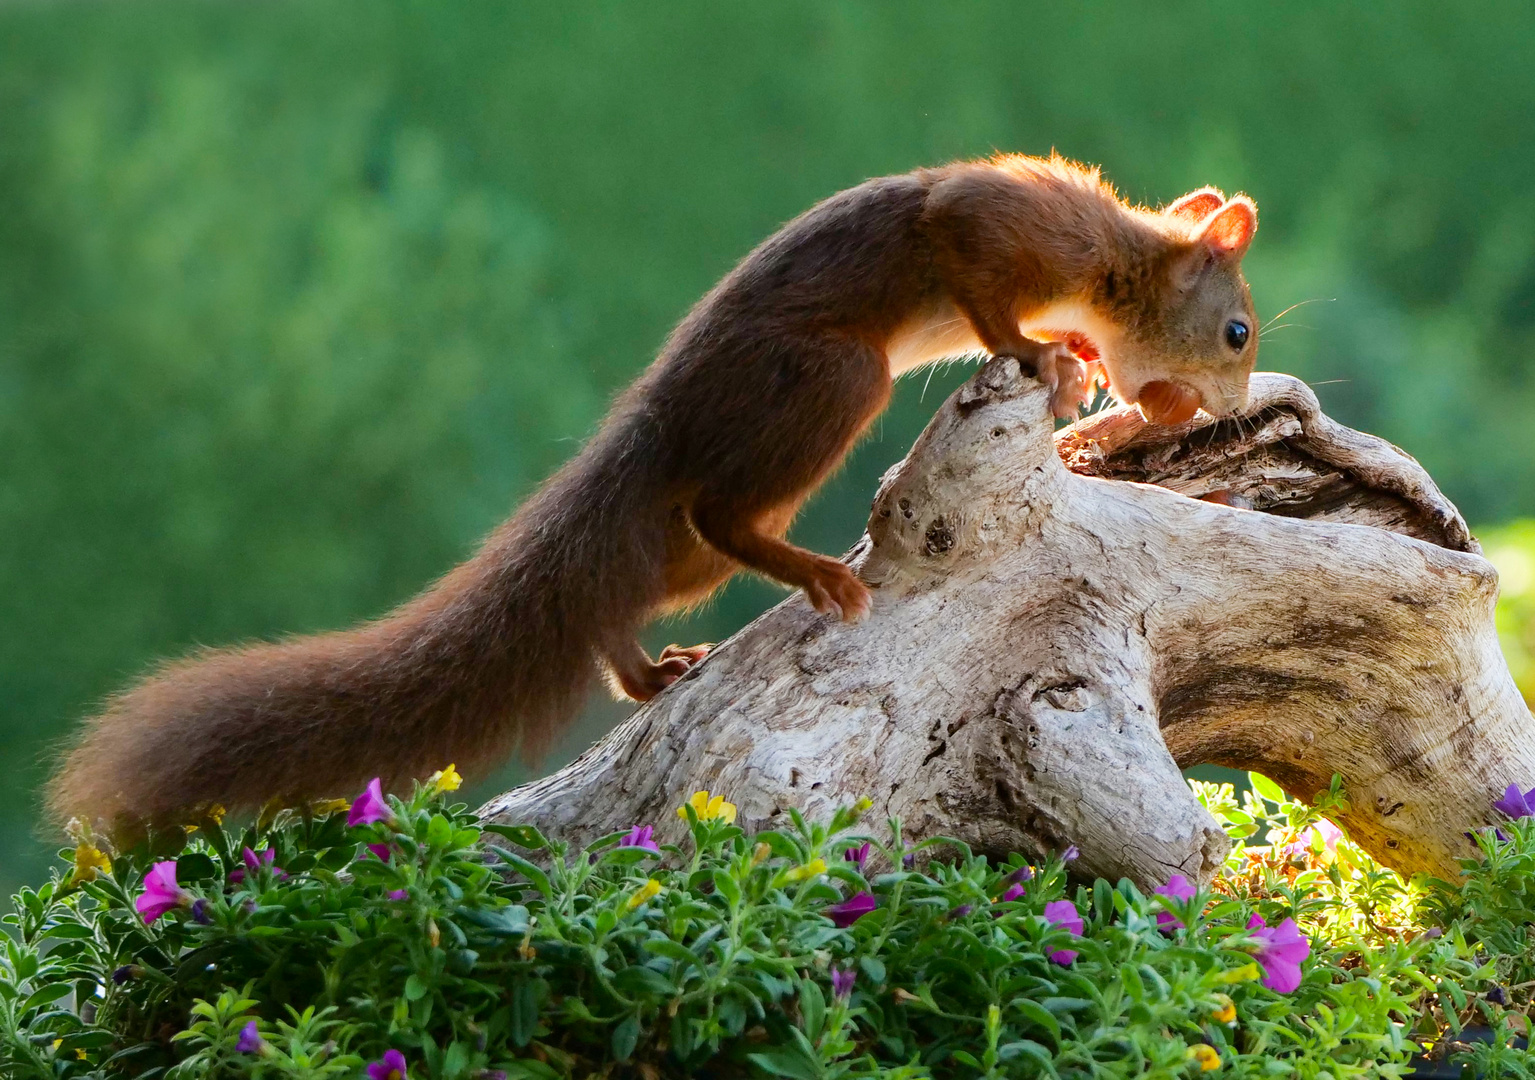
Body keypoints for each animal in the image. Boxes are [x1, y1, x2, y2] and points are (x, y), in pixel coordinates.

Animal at [51, 154, 1258, 828]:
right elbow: (983, 290)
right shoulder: (990, 225)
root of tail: (655, 423)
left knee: (636, 579)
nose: (1207, 411)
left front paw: (1078, 355)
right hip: (828, 381)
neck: (1111, 257)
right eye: (1238, 331)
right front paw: (1049, 352)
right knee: (721, 517)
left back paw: (649, 673)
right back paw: (816, 576)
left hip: (681, 540)